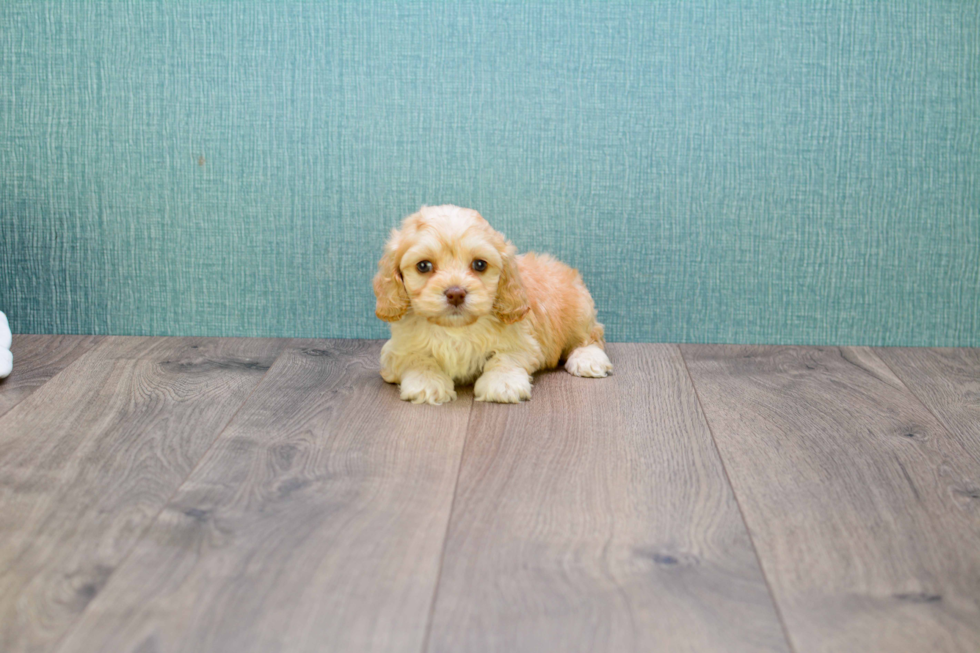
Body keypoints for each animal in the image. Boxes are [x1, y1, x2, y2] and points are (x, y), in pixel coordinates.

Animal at [372, 204, 608, 402]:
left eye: (479, 264)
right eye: (423, 266)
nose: (456, 293)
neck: (456, 329)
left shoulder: (523, 342)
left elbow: (505, 358)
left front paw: (502, 384)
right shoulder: (396, 350)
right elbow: (416, 358)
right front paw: (427, 383)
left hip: (580, 312)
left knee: (591, 336)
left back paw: (589, 359)